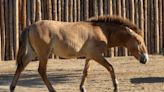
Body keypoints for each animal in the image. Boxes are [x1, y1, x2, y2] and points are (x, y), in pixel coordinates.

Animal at [10, 15, 149, 91]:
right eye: (138, 41)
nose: (145, 59)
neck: (102, 31)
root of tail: (30, 26)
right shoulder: (96, 55)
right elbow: (110, 67)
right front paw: (116, 86)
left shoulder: (89, 57)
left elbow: (85, 72)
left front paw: (82, 88)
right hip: (43, 54)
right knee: (41, 71)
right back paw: (52, 90)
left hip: (32, 53)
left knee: (21, 66)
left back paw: (12, 87)